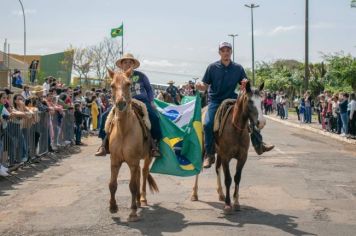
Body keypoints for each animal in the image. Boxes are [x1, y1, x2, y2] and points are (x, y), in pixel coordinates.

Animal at [107, 68, 159, 221]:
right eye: (112, 85)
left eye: (128, 84)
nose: (121, 103)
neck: (124, 130)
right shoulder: (115, 161)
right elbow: (112, 184)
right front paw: (113, 207)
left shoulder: (133, 162)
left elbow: (132, 186)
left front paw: (133, 212)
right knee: (138, 174)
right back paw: (137, 200)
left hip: (147, 157)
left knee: (144, 172)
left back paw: (142, 199)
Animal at [192, 80, 264, 212]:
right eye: (250, 101)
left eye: (261, 101)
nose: (261, 122)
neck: (236, 129)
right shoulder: (226, 157)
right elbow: (228, 179)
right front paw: (227, 204)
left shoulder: (242, 157)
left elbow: (237, 177)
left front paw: (236, 202)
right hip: (204, 150)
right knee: (199, 169)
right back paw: (194, 194)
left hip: (219, 153)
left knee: (217, 169)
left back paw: (221, 193)